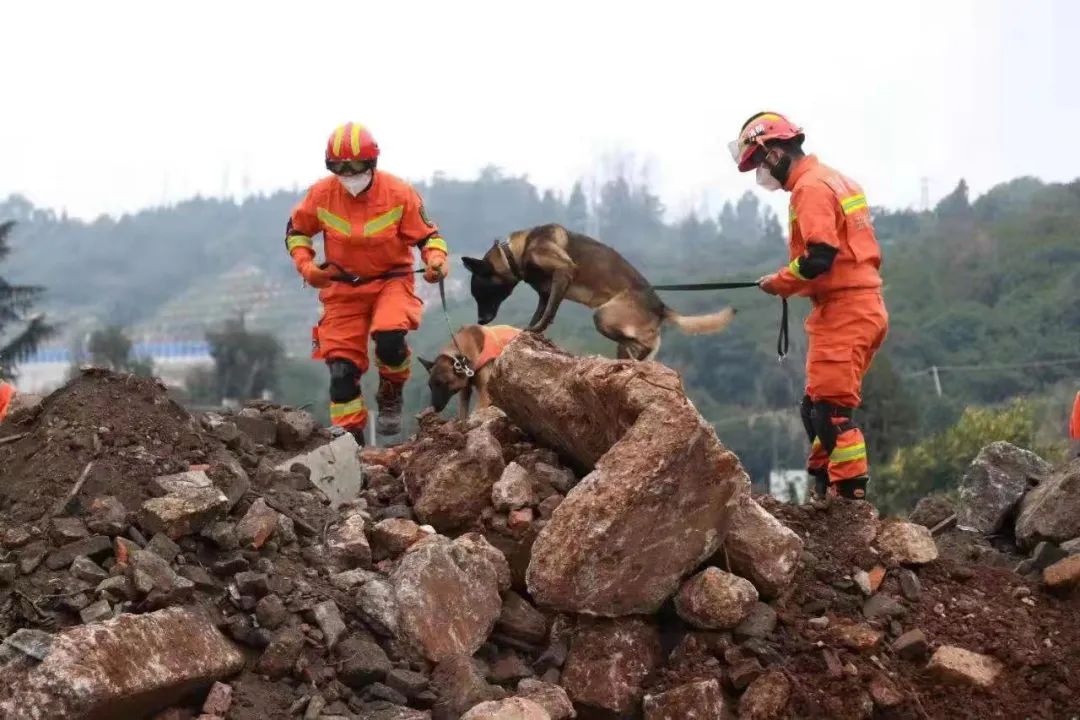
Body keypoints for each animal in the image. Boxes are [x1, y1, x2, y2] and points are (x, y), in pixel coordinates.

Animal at [460, 222, 738, 360]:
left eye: (480, 294)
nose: (481, 321)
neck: (516, 252)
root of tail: (660, 307)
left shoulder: (563, 272)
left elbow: (547, 315)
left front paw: (535, 331)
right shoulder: (545, 292)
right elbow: (540, 313)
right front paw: (528, 332)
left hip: (603, 316)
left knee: (633, 343)